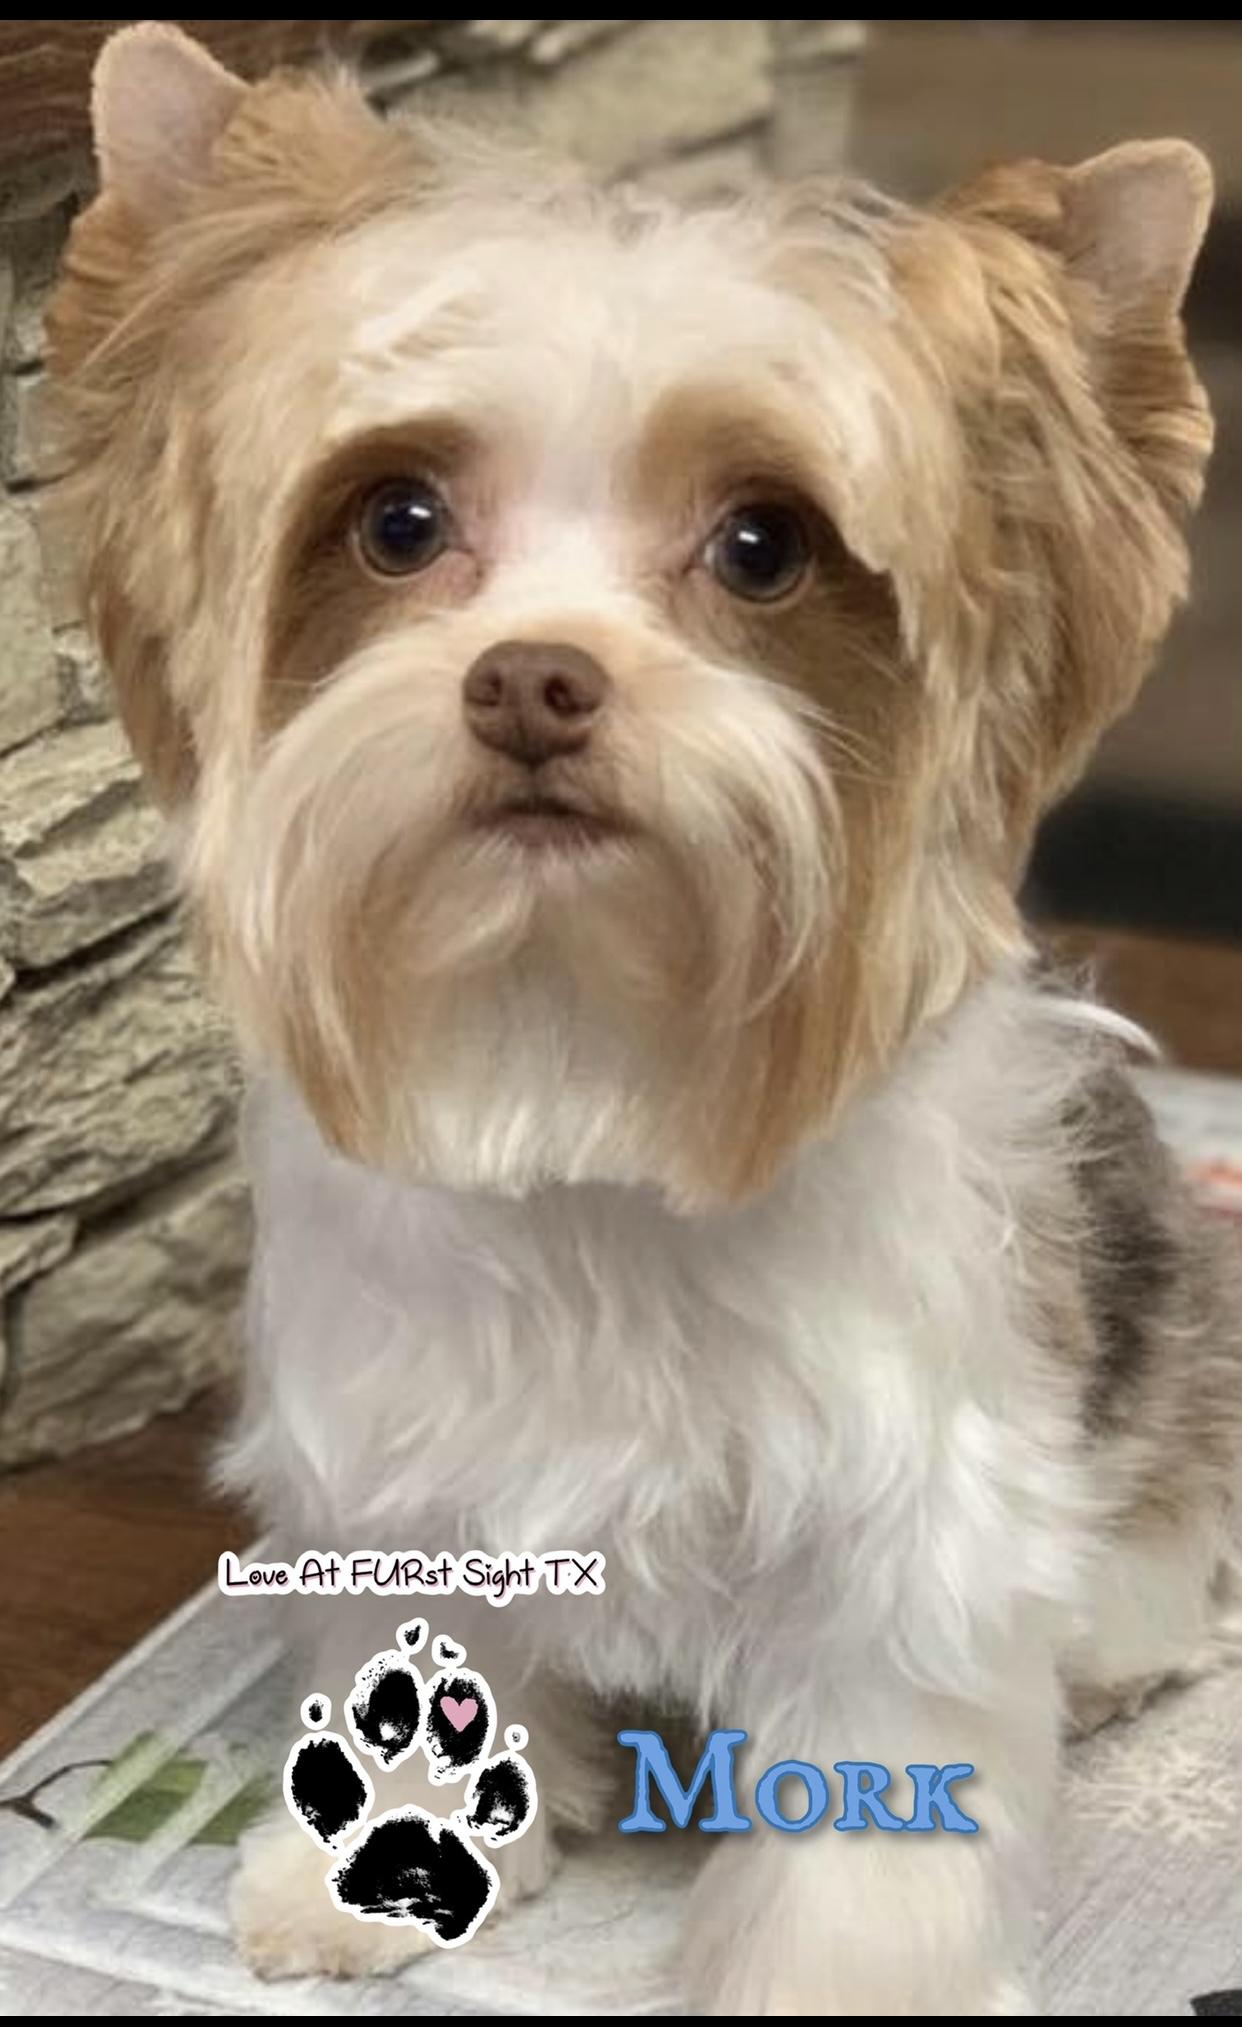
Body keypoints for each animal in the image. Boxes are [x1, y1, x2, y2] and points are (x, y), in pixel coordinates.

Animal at [48, 21, 1242, 2014]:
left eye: (764, 546)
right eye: (397, 521)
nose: (534, 677)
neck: (583, 1048)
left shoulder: (905, 1533)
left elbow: (872, 1806)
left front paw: (846, 1984)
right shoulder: (402, 1466)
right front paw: (370, 1867)